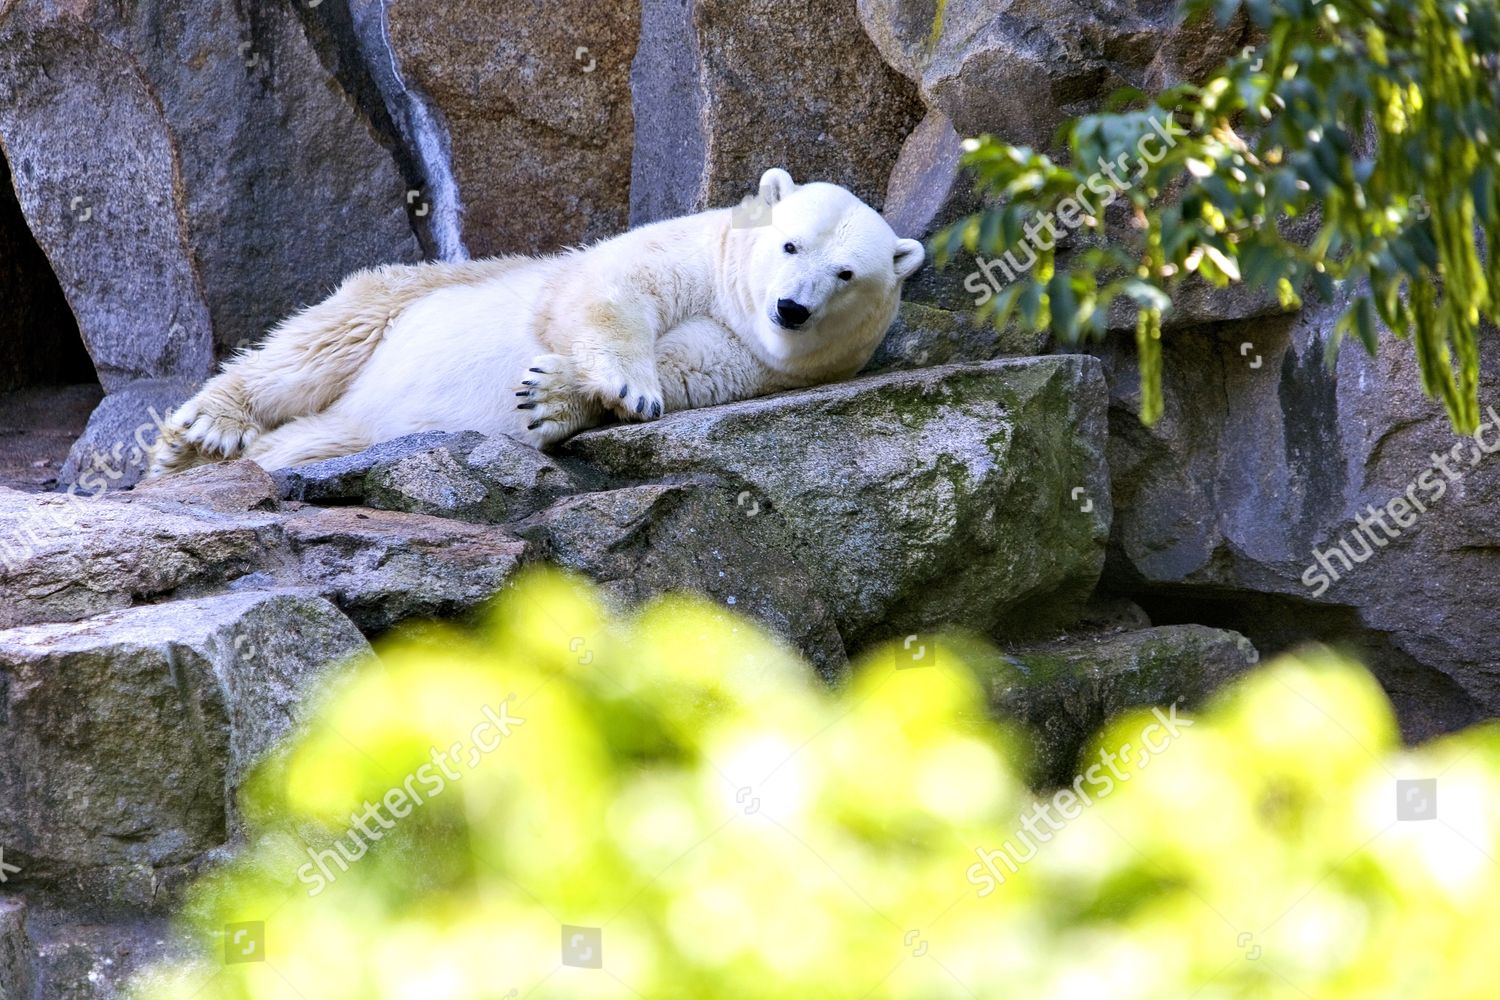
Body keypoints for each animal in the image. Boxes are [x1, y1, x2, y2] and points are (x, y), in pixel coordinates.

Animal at [152, 169, 924, 476]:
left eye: (846, 274)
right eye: (789, 244)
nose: (790, 308)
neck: (733, 300)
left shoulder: (757, 360)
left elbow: (691, 369)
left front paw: (551, 399)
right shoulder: (692, 246)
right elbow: (611, 288)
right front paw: (625, 383)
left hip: (353, 427)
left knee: (309, 439)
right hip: (424, 289)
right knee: (324, 341)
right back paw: (203, 432)